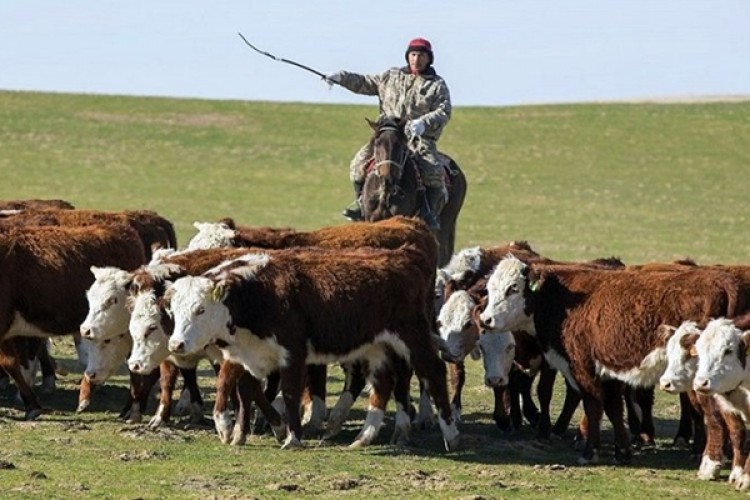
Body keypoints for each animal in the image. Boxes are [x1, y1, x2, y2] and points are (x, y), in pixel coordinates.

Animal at [478, 258, 748, 464]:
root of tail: (720, 281)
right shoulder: (606, 371)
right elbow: (613, 408)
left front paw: (590, 452)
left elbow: (593, 406)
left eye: (513, 288)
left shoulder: (583, 367)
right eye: (490, 289)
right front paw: (623, 451)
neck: (561, 300)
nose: (486, 319)